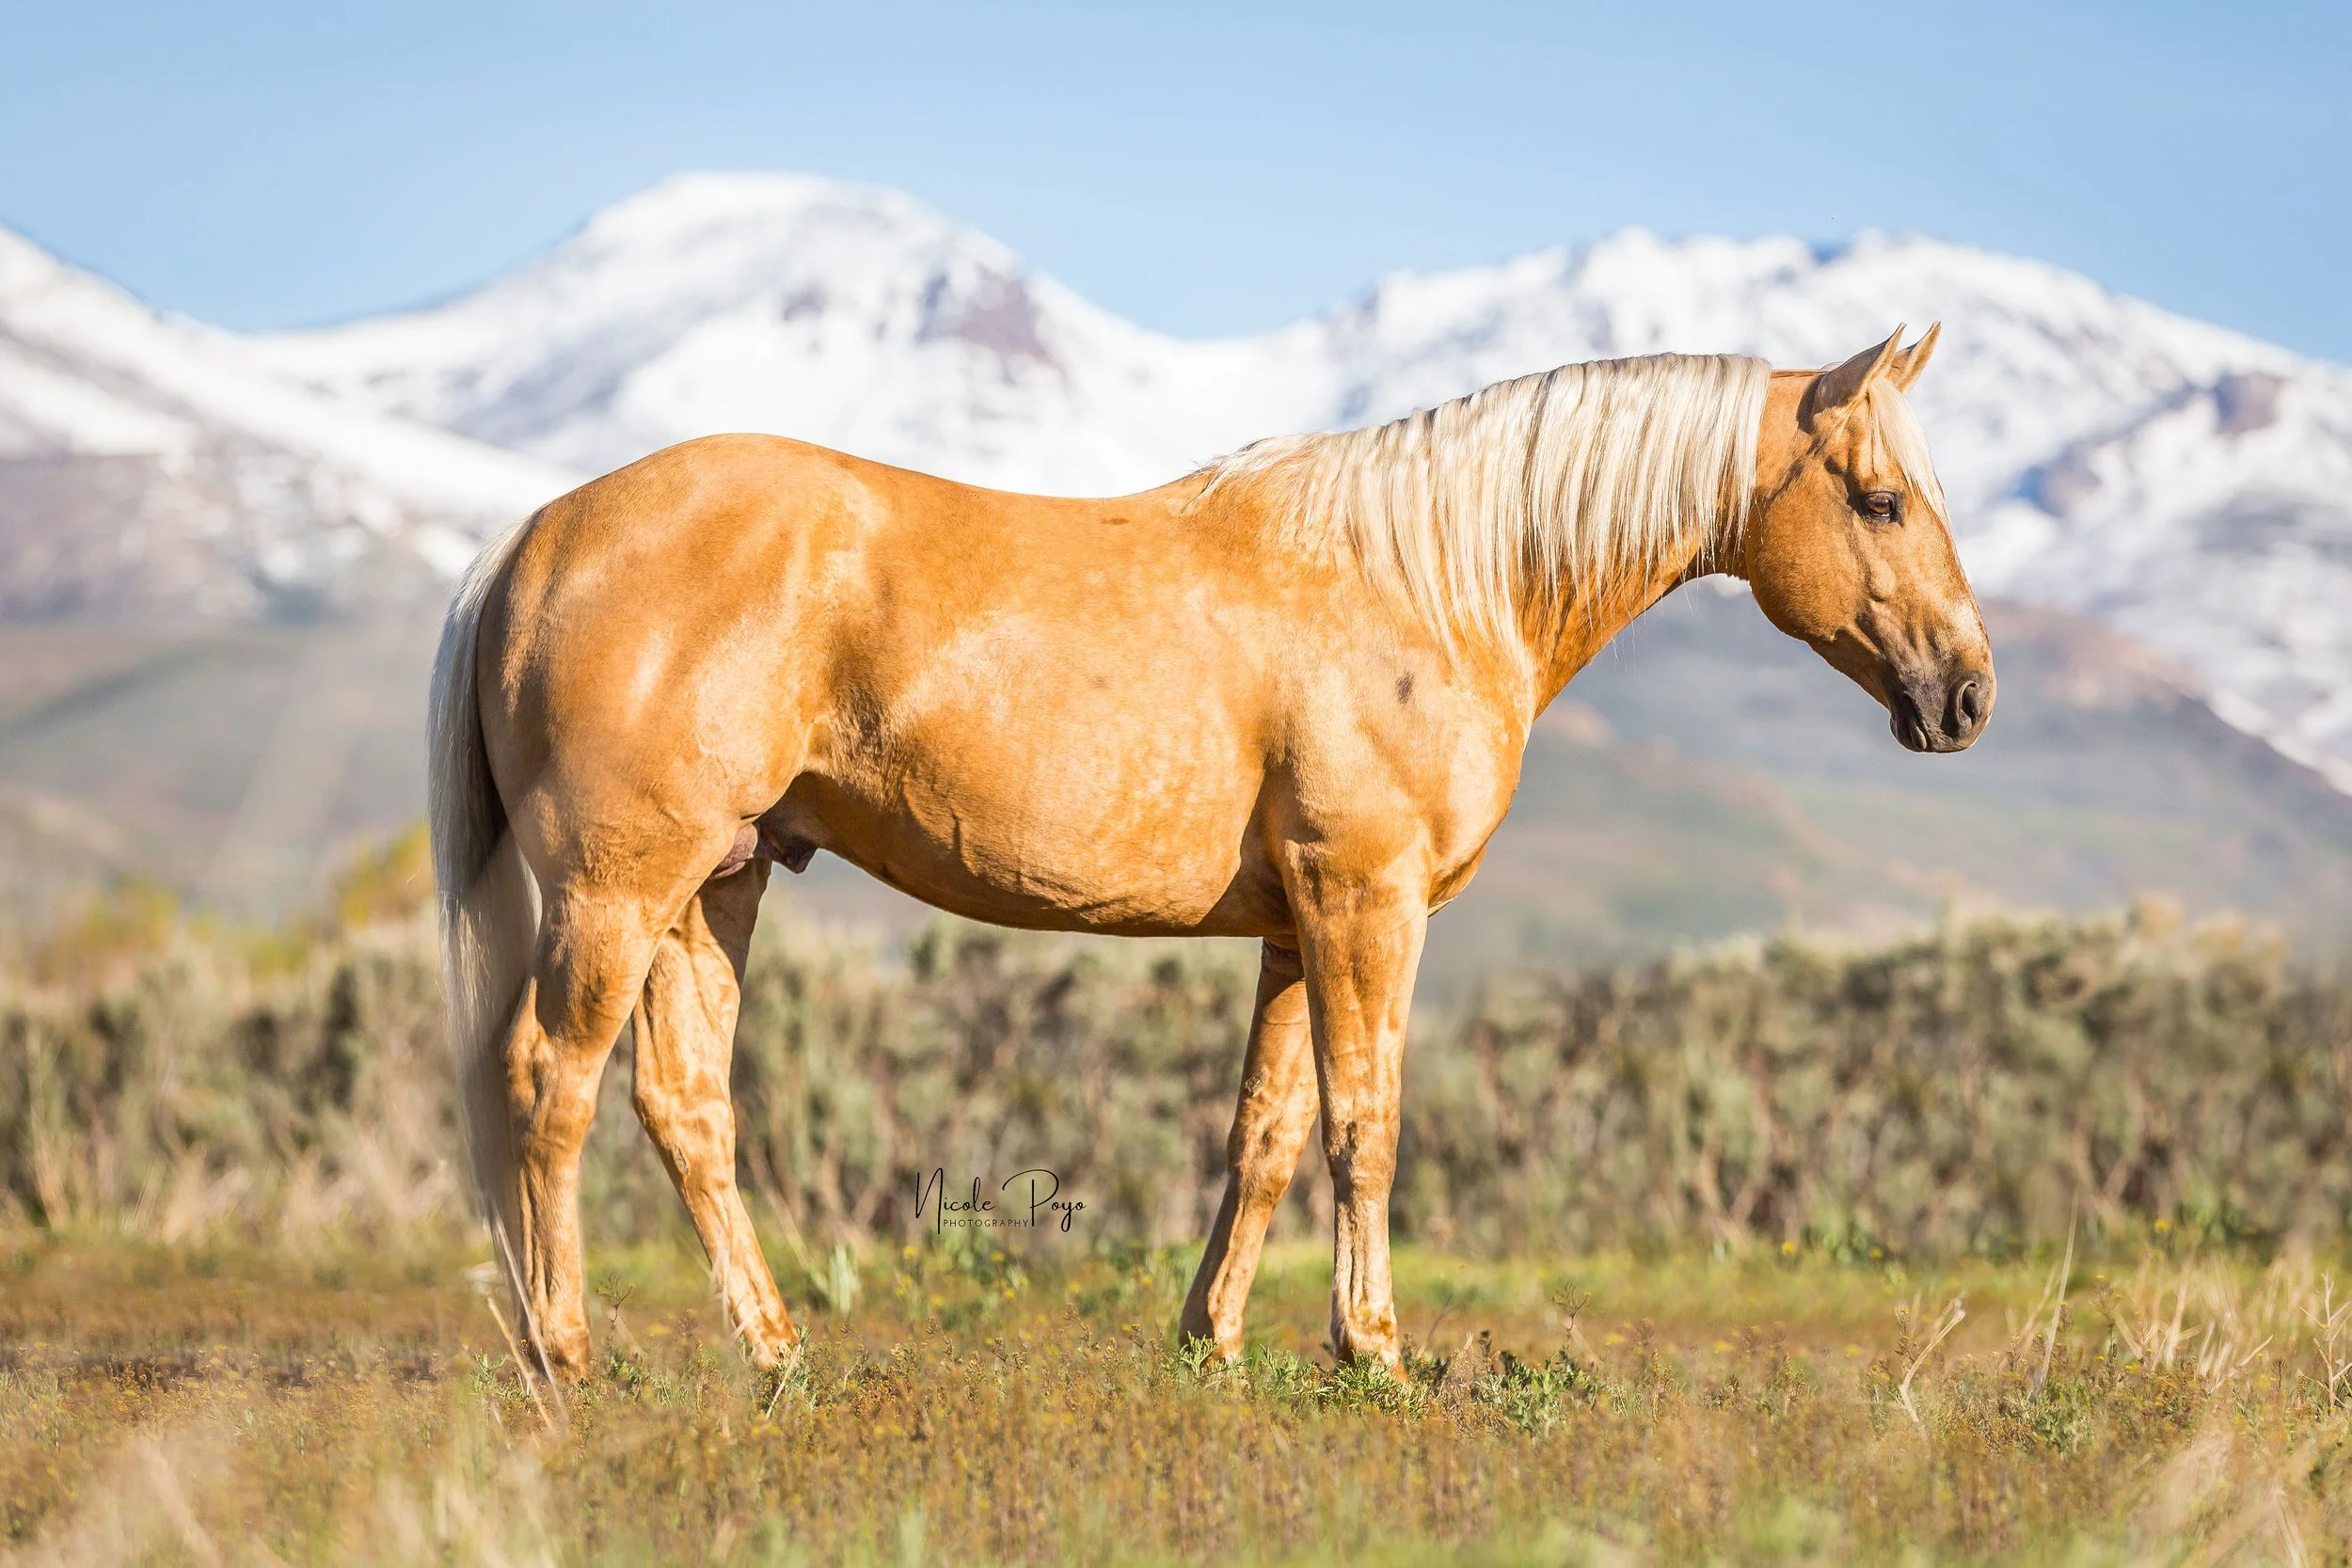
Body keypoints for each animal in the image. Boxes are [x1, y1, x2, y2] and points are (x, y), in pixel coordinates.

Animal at [429, 324, 1991, 1379]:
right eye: (1882, 500)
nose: (1967, 695)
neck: (1432, 579)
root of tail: (533, 533)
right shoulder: (1369, 902)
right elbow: (1367, 1123)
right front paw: (1374, 1346)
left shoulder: (1299, 922)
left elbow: (1271, 1129)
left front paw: (1216, 1338)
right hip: (618, 889)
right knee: (550, 1085)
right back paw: (565, 1354)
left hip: (720, 883)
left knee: (685, 1105)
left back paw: (773, 1351)